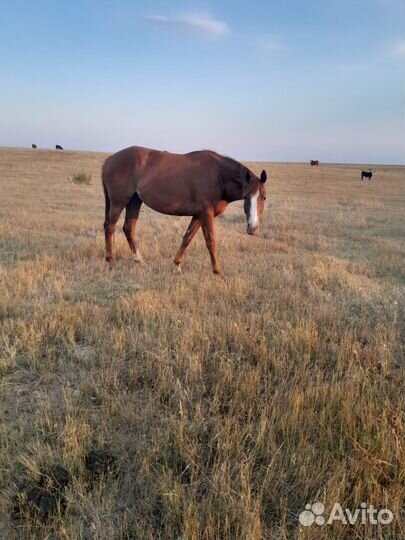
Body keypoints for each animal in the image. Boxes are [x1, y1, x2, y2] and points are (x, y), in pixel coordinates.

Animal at [100, 146, 266, 274]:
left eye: (263, 197)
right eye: (246, 196)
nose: (253, 228)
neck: (217, 175)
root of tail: (110, 159)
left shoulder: (199, 215)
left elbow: (187, 238)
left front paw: (177, 264)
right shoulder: (206, 214)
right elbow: (211, 241)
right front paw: (218, 272)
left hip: (134, 201)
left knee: (128, 228)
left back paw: (139, 261)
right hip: (119, 202)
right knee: (110, 227)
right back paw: (111, 262)